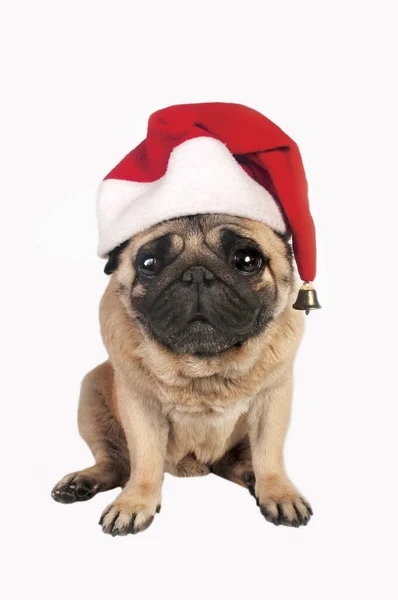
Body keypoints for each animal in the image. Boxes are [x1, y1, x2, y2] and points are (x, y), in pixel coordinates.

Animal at [51, 213, 310, 532]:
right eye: (149, 263)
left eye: (247, 260)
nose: (196, 274)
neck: (202, 368)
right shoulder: (140, 408)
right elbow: (145, 459)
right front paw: (134, 503)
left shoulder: (271, 402)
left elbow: (269, 454)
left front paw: (278, 493)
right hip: (92, 394)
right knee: (115, 464)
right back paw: (82, 482)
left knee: (235, 462)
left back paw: (252, 476)